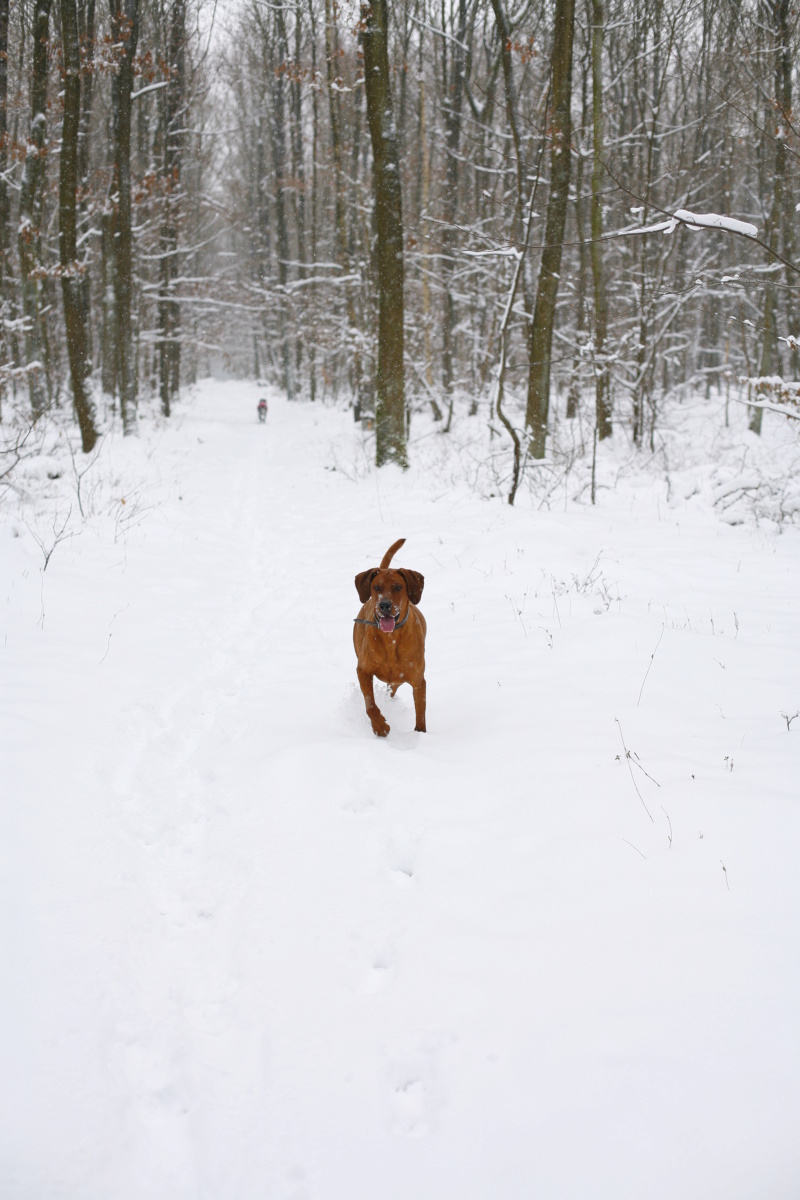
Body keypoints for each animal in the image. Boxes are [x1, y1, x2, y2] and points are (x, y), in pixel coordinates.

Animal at [350, 540, 424, 734]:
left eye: (398, 587)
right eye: (376, 587)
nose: (384, 605)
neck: (391, 639)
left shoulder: (418, 680)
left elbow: (420, 714)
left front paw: (421, 734)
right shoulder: (363, 670)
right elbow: (370, 704)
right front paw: (380, 726)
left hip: (398, 679)